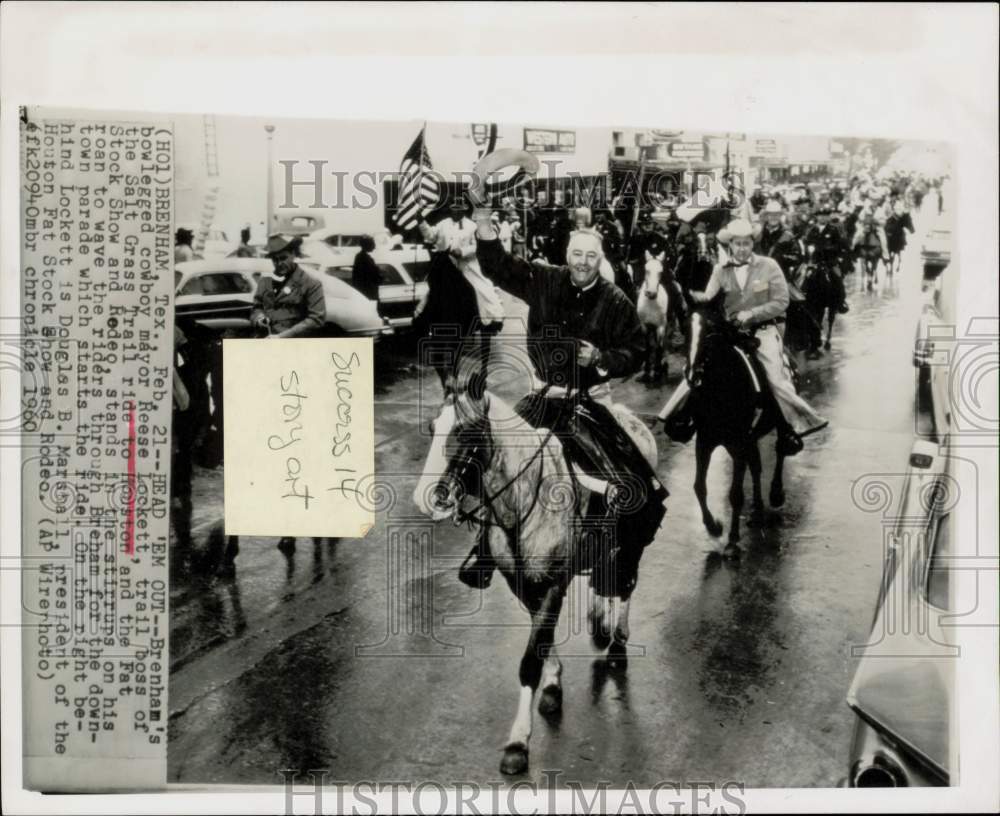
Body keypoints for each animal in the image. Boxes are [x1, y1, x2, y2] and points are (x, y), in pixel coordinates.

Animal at [688, 302, 788, 560]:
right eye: (685, 328)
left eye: (711, 331)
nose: (692, 375)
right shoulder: (704, 442)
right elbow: (699, 487)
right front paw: (713, 527)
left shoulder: (739, 444)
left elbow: (735, 494)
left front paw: (732, 541)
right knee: (757, 467)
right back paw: (757, 510)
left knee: (781, 450)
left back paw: (775, 493)